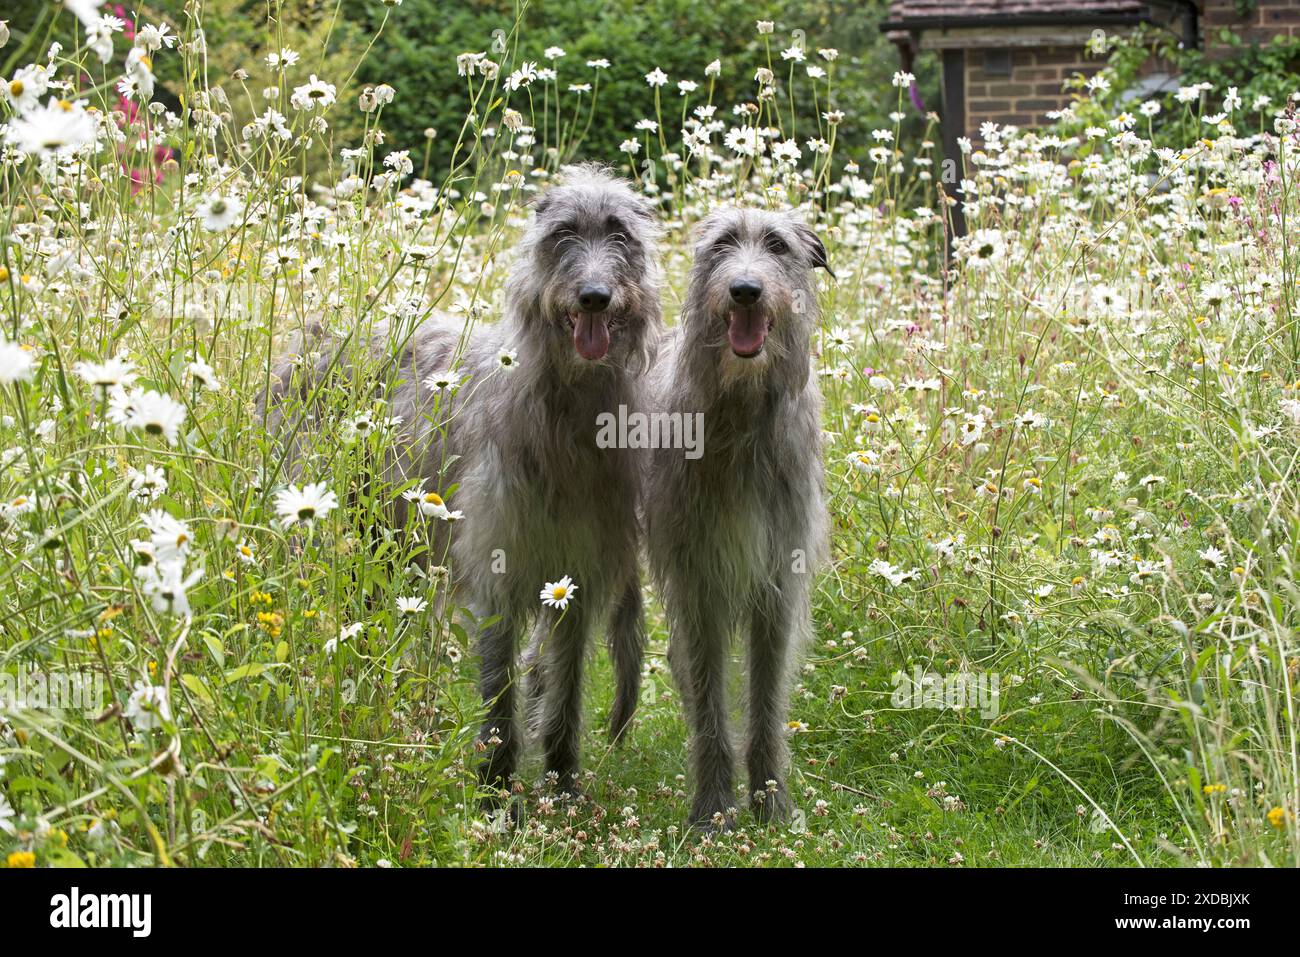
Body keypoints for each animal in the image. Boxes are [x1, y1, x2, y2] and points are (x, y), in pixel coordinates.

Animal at [262, 166, 660, 806]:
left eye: (620, 233)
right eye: (564, 233)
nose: (595, 296)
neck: (566, 409)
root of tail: (306, 343)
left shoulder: (576, 576)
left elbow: (565, 686)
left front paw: (562, 786)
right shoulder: (497, 565)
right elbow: (499, 691)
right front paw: (496, 792)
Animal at [639, 208, 832, 832]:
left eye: (777, 245)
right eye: (723, 245)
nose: (745, 289)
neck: (743, 412)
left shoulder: (778, 582)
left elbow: (766, 696)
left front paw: (771, 801)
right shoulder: (698, 576)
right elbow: (709, 696)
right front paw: (712, 806)